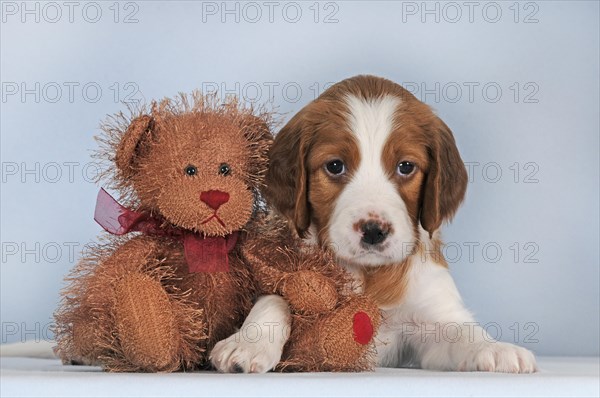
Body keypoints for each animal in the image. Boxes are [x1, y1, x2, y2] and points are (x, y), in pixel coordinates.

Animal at [210, 75, 536, 374]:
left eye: (406, 166)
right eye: (335, 166)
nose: (373, 231)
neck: (369, 274)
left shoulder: (432, 315)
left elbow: (461, 330)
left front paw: (495, 348)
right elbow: (275, 300)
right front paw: (247, 343)